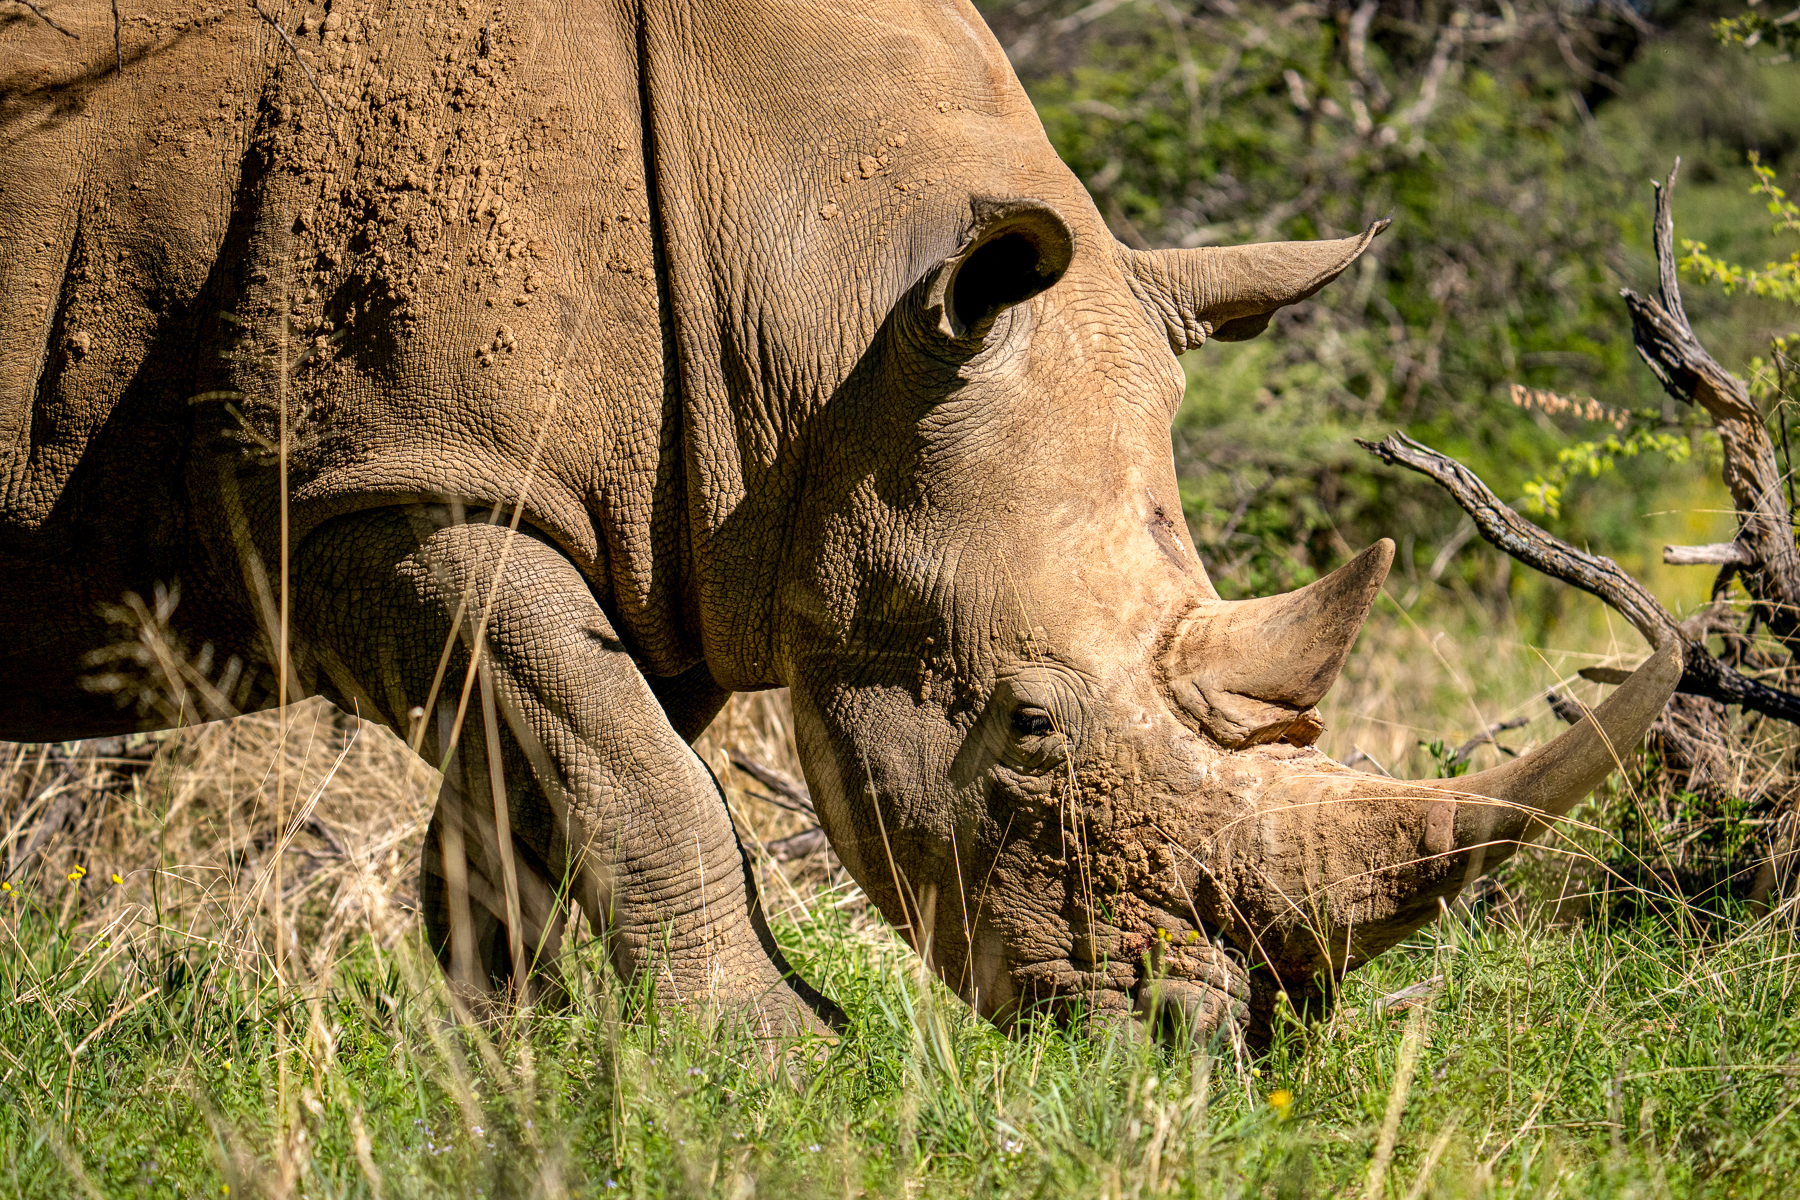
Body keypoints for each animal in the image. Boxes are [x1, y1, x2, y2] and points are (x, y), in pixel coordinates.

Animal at [1, 0, 1676, 1045]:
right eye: (1025, 729)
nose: (1192, 1048)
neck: (823, 304)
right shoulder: (373, 481)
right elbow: (640, 776)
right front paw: (782, 1056)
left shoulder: (656, 523)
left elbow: (556, 779)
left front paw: (517, 1063)